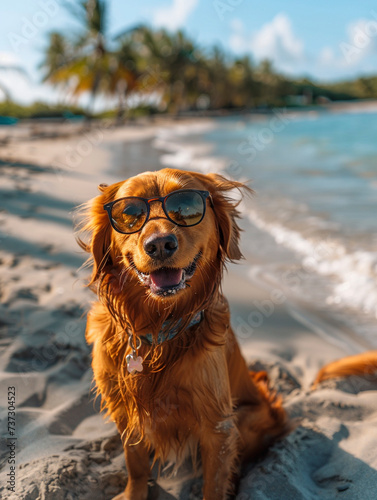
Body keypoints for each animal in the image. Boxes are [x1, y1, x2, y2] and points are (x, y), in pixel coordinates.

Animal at [77, 169, 376, 500]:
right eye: (129, 215)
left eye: (186, 208)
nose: (160, 244)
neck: (157, 327)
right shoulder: (124, 407)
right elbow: (136, 462)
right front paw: (134, 492)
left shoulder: (218, 426)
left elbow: (214, 482)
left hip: (245, 418)